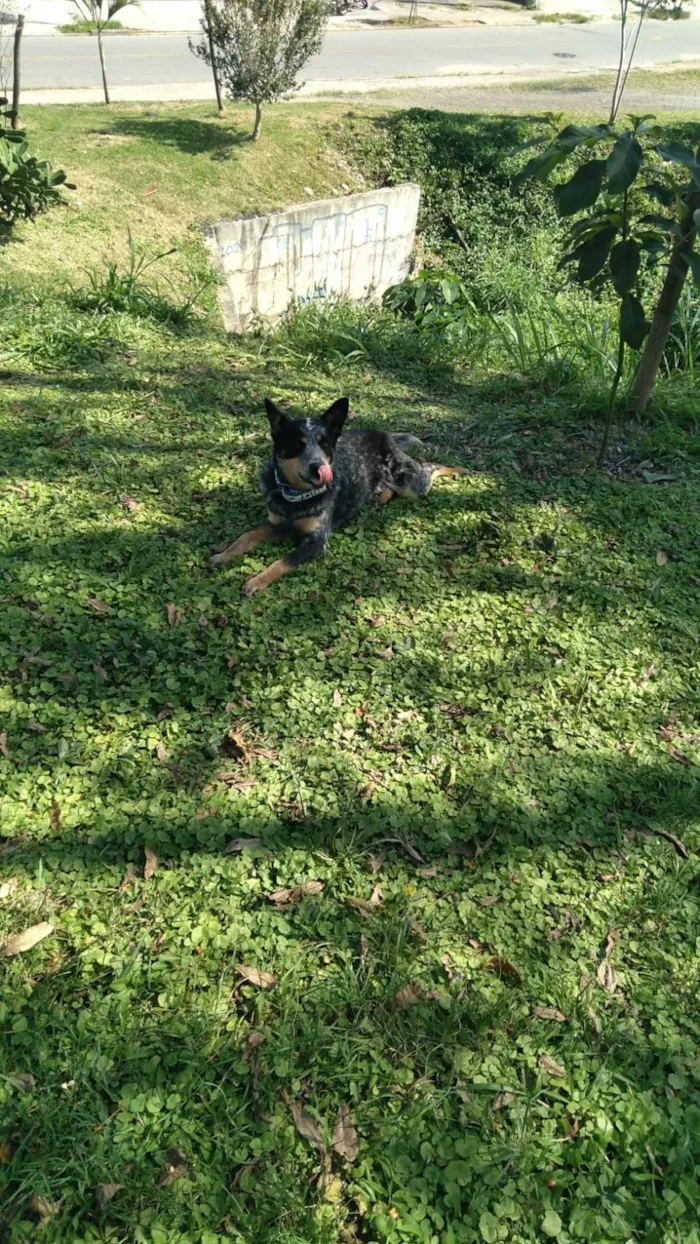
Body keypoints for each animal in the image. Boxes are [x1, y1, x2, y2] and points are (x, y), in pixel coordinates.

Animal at [211, 398, 467, 592]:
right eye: (297, 444)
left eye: (324, 444)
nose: (318, 466)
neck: (296, 498)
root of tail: (383, 434)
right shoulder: (275, 524)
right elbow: (245, 537)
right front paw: (222, 556)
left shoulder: (316, 542)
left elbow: (282, 561)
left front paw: (257, 580)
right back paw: (381, 496)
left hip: (412, 484)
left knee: (430, 467)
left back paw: (461, 470)